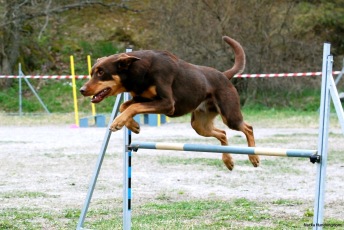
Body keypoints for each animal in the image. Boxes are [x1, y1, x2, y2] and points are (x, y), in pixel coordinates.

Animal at [80, 35, 258, 169]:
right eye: (92, 72)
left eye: (101, 72)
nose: (82, 90)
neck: (139, 71)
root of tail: (224, 75)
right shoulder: (142, 98)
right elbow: (126, 106)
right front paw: (133, 125)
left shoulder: (167, 103)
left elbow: (133, 107)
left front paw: (118, 122)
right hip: (200, 125)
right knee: (222, 133)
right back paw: (228, 161)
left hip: (230, 115)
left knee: (248, 128)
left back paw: (254, 157)